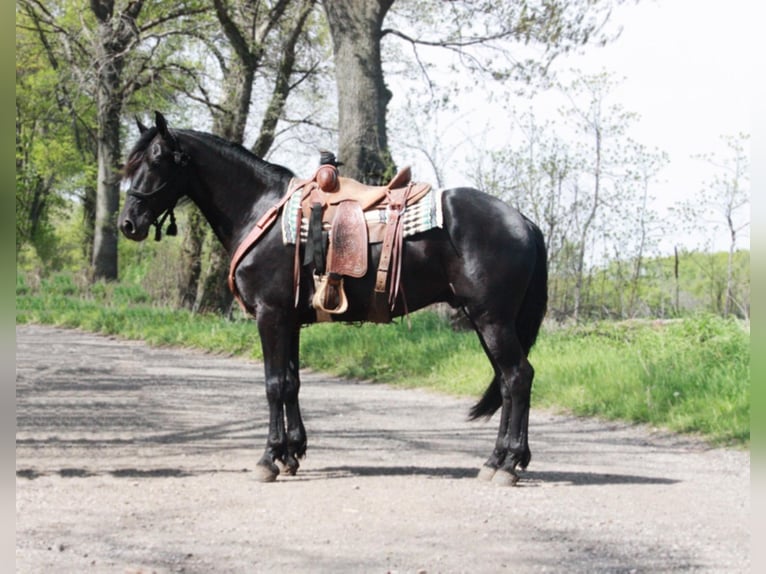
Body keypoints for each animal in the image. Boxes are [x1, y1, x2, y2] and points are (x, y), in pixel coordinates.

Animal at [117, 111, 548, 486]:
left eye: (156, 158)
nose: (128, 223)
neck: (260, 211)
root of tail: (524, 221)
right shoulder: (289, 320)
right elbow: (291, 383)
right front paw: (291, 454)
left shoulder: (270, 316)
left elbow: (273, 384)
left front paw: (268, 458)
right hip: (485, 320)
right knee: (507, 383)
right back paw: (497, 461)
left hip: (492, 320)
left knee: (517, 377)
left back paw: (508, 464)